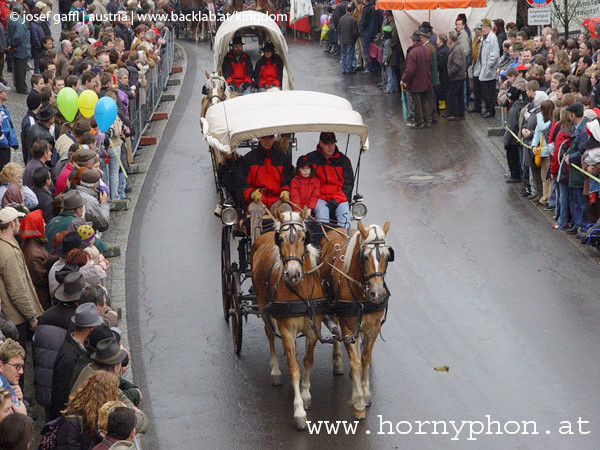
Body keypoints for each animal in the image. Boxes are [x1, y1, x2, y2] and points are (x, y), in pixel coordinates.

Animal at [253, 208, 328, 428]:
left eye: (304, 238)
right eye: (281, 239)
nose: (293, 273)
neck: (299, 289)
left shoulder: (313, 329)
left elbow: (307, 361)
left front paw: (306, 394)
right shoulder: (286, 330)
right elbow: (295, 369)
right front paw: (299, 411)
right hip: (263, 308)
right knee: (269, 334)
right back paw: (276, 371)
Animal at [322, 220, 392, 420]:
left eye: (387, 256)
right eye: (365, 257)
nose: (377, 293)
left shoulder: (373, 328)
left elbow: (365, 359)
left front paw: (366, 393)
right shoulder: (348, 328)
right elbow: (355, 363)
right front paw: (359, 403)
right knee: (335, 331)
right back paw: (338, 362)